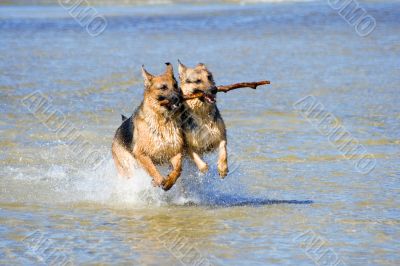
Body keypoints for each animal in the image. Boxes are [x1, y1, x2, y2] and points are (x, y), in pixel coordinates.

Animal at [111, 62, 183, 191]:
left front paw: (169, 181)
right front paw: (158, 181)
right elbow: (152, 169)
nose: (179, 98)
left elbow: (178, 169)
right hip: (128, 165)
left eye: (175, 85)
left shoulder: (175, 152)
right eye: (163, 87)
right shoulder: (141, 154)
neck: (162, 120)